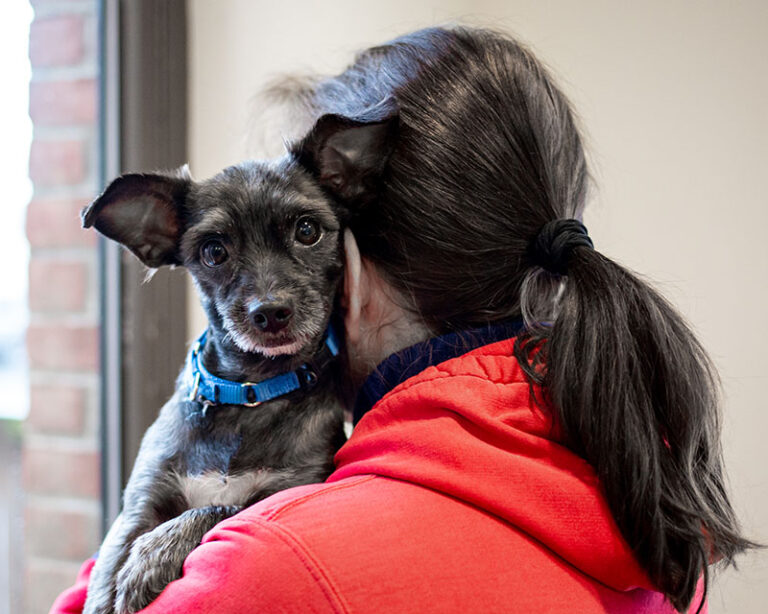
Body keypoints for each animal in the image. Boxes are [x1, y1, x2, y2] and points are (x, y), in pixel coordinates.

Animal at [81, 106, 400, 614]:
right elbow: (110, 563)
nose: (270, 312)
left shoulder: (288, 489)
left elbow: (223, 507)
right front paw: (121, 577)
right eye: (214, 251)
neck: (248, 392)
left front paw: (151, 556)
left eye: (307, 230)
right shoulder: (141, 500)